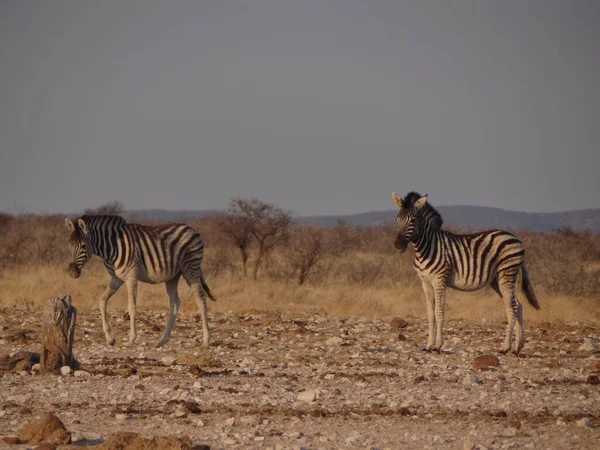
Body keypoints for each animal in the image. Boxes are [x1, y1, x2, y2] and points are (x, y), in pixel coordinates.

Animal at [63, 214, 217, 348]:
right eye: (69, 246)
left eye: (83, 246)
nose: (72, 272)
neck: (112, 247)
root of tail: (192, 229)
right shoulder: (116, 278)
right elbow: (102, 301)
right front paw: (110, 338)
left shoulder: (131, 275)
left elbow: (132, 306)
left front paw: (131, 339)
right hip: (173, 276)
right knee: (175, 303)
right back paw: (162, 341)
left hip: (191, 268)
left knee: (201, 299)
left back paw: (206, 340)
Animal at [392, 190, 540, 356]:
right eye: (397, 219)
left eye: (413, 220)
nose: (398, 245)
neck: (426, 247)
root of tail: (516, 239)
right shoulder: (425, 282)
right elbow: (430, 314)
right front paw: (429, 345)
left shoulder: (440, 280)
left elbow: (439, 312)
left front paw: (438, 345)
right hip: (496, 280)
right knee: (518, 305)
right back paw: (517, 347)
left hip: (507, 273)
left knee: (512, 308)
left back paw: (505, 347)